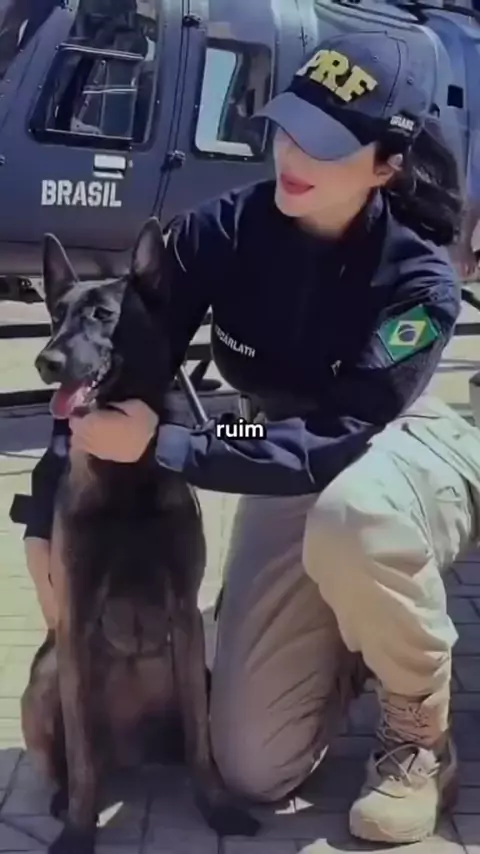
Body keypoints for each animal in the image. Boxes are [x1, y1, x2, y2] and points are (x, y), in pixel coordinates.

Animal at [21, 219, 259, 854]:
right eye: (56, 315)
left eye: (103, 315)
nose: (46, 361)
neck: (126, 477)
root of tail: (133, 756)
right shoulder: (75, 620)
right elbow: (80, 755)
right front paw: (79, 830)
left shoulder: (185, 614)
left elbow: (202, 742)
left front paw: (216, 806)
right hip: (45, 678)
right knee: (72, 758)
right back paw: (64, 798)